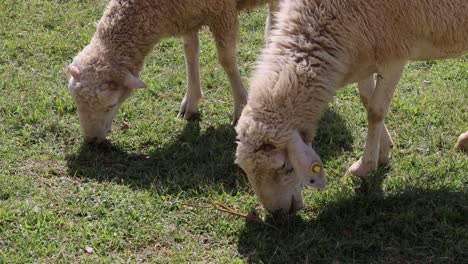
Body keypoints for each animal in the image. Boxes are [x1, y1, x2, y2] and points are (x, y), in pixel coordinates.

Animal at [67, 0, 280, 143]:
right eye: (76, 104)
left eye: (110, 106)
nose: (90, 141)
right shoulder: (187, 16)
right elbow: (190, 52)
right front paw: (190, 102)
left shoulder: (222, 12)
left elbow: (226, 59)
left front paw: (241, 106)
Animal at [236, 0, 466, 214]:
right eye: (245, 170)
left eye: (284, 166)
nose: (277, 213)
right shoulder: (366, 54)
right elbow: (366, 99)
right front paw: (383, 150)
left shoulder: (394, 56)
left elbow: (376, 111)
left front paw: (365, 167)